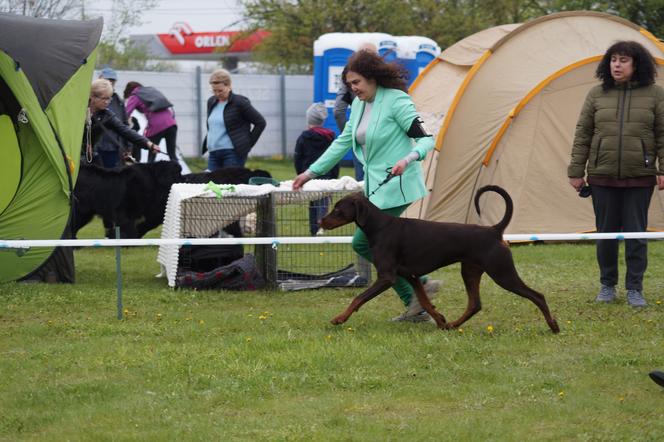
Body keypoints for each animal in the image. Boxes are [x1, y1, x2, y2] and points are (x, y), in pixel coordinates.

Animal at [320, 185, 556, 334]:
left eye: (338, 209)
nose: (321, 220)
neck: (380, 226)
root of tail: (494, 230)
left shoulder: (387, 277)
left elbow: (358, 298)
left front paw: (339, 318)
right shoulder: (411, 276)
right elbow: (425, 301)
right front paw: (440, 320)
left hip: (502, 273)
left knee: (537, 296)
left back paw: (553, 325)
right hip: (470, 271)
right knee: (474, 304)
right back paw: (452, 325)